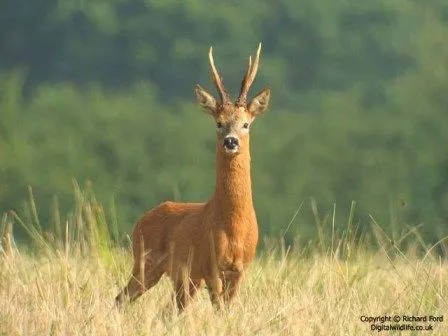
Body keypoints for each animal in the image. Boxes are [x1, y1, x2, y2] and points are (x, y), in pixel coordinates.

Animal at [114, 43, 270, 312]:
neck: (233, 227)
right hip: (145, 262)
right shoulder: (210, 265)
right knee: (121, 298)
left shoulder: (240, 269)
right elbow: (219, 310)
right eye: (218, 123)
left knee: (169, 309)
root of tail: (140, 221)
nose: (231, 141)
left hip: (184, 277)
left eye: (246, 124)